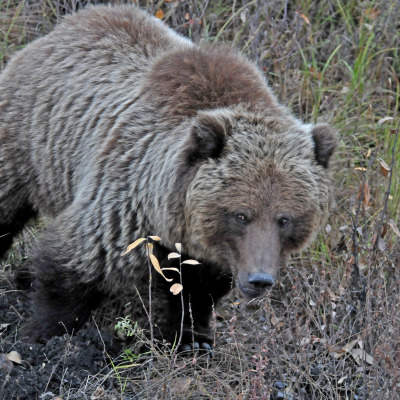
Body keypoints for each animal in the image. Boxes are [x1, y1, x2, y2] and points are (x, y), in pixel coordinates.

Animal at [0, 3, 338, 346]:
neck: (170, 215)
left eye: (285, 218)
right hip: (25, 139)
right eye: (241, 215)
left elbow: (197, 290)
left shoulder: (206, 248)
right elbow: (76, 262)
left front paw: (193, 335)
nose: (260, 279)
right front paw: (43, 333)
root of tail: (70, 22)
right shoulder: (126, 201)